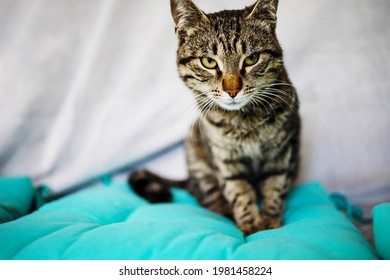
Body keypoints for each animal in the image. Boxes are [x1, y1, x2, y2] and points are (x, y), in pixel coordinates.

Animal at [129, 0, 300, 236]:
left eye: (252, 59)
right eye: (209, 62)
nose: (232, 89)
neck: (244, 121)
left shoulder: (281, 154)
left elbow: (275, 188)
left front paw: (271, 222)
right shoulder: (225, 159)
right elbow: (239, 193)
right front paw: (251, 225)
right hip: (196, 156)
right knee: (209, 198)